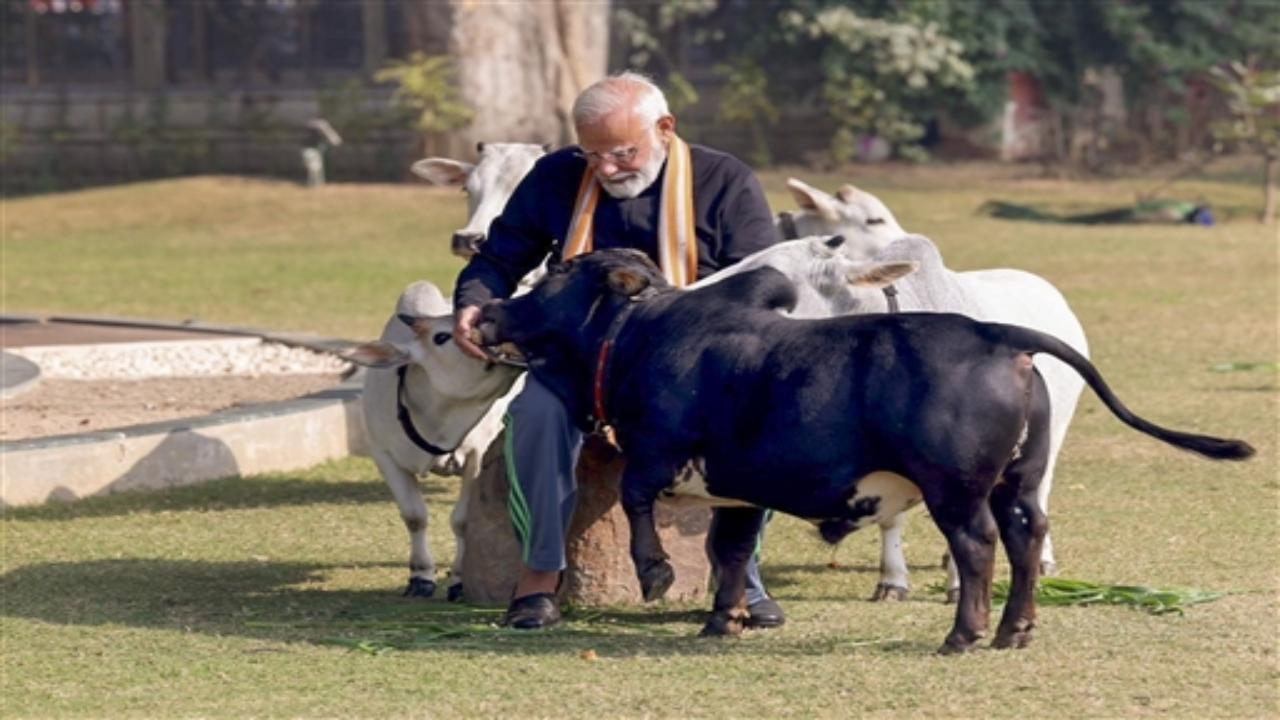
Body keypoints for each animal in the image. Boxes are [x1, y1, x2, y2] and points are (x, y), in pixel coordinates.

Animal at [474, 248, 1253, 653]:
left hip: (956, 491)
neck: (639, 333)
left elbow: (638, 500)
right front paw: (722, 618)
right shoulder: (739, 486)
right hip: (1018, 482)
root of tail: (992, 332)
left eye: (553, 276)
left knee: (978, 549)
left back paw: (965, 634)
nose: (490, 311)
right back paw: (1014, 629)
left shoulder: (659, 450)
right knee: (1026, 540)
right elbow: (728, 552)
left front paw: (659, 573)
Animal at [782, 179, 1088, 599]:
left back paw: (1042, 558)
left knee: (1039, 489)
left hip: (1052, 429)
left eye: (874, 217)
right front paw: (892, 580)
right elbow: (891, 518)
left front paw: (959, 584)